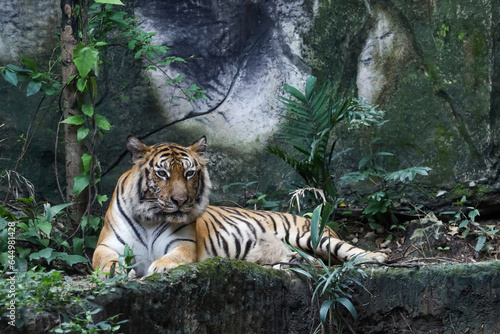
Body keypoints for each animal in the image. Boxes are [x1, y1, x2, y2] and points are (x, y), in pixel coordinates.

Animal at [94, 136, 388, 276]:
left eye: (189, 174)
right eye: (162, 174)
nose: (180, 201)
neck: (150, 218)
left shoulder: (182, 244)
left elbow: (172, 257)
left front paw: (161, 267)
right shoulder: (107, 245)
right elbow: (103, 261)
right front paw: (115, 272)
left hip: (311, 235)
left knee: (349, 250)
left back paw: (377, 257)